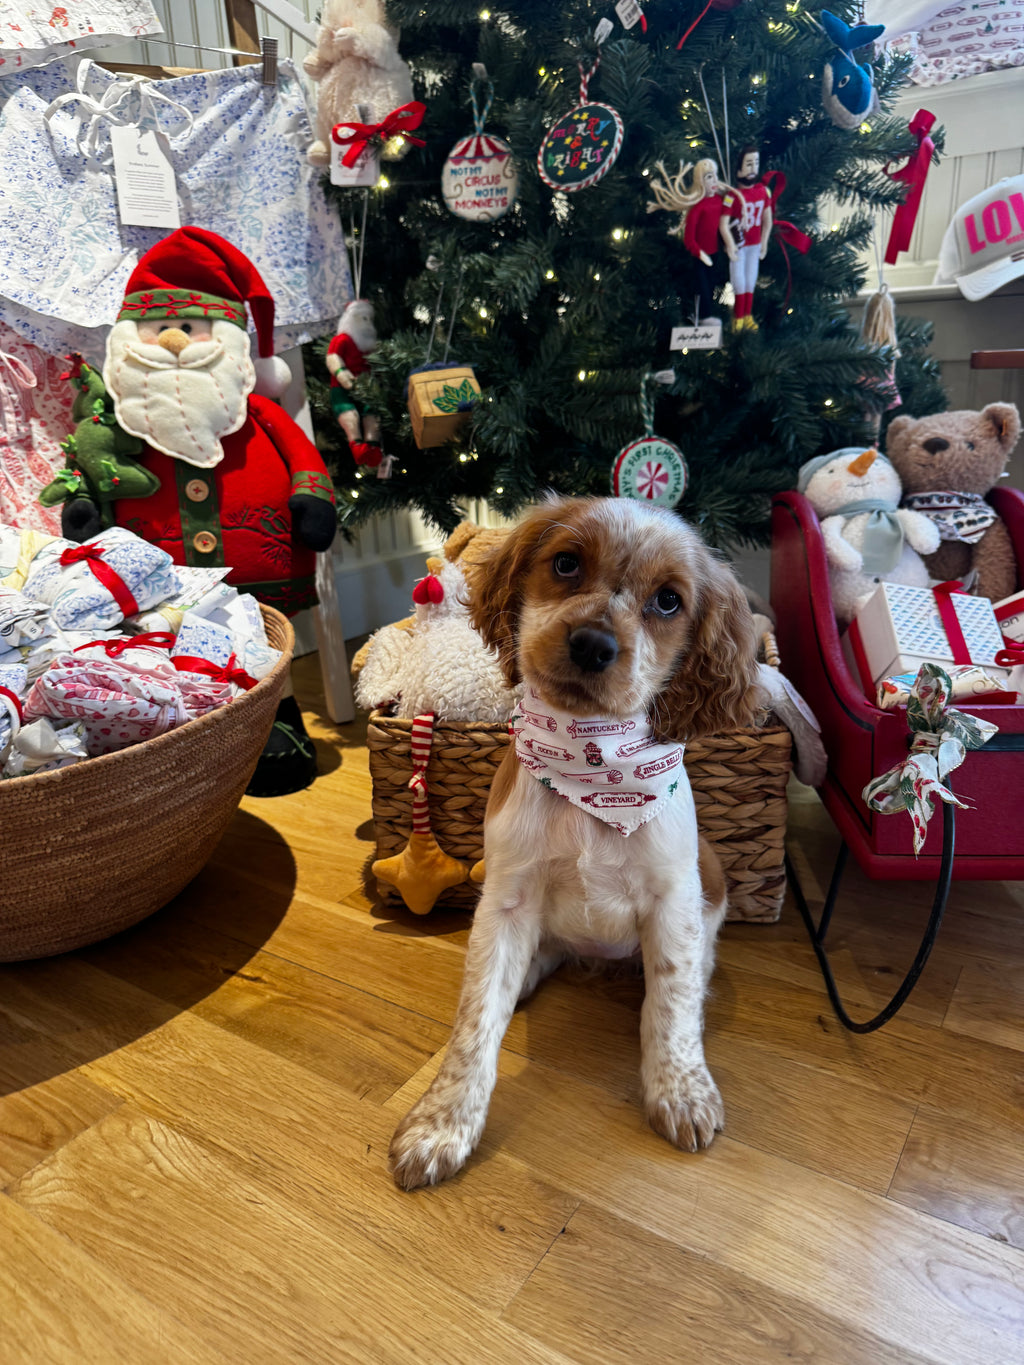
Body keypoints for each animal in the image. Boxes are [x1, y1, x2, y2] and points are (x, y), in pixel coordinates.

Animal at [387, 496, 764, 1190]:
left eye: (668, 601)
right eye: (566, 564)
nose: (592, 643)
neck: (592, 775)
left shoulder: (673, 902)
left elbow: (671, 1003)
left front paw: (680, 1091)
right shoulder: (506, 900)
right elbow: (475, 1019)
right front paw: (440, 1126)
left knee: (690, 976)